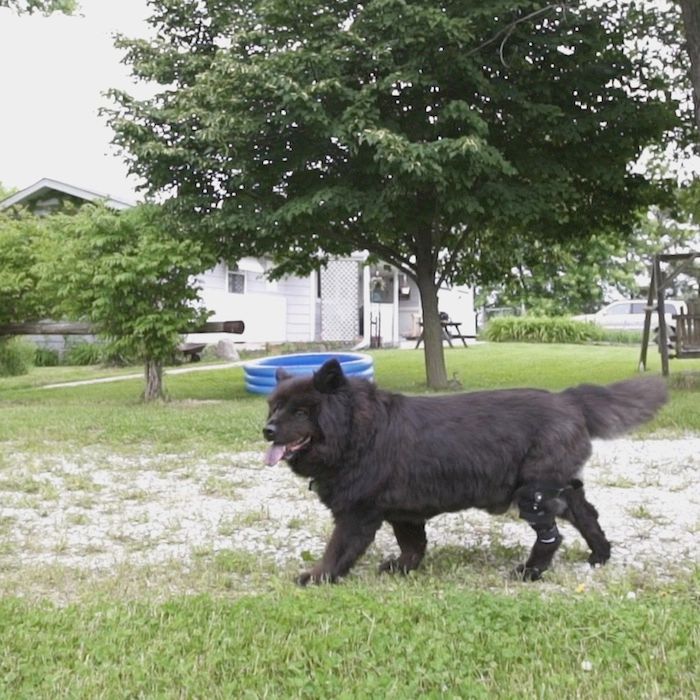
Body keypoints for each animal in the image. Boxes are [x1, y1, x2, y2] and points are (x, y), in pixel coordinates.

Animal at [262, 358, 668, 584]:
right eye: (275, 407)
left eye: (301, 411)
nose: (266, 430)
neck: (358, 432)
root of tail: (569, 399)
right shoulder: (402, 512)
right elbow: (413, 546)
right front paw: (402, 568)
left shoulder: (356, 514)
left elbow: (337, 550)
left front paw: (318, 577)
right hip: (559, 488)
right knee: (588, 515)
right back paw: (600, 555)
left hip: (533, 494)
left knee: (552, 537)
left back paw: (530, 573)